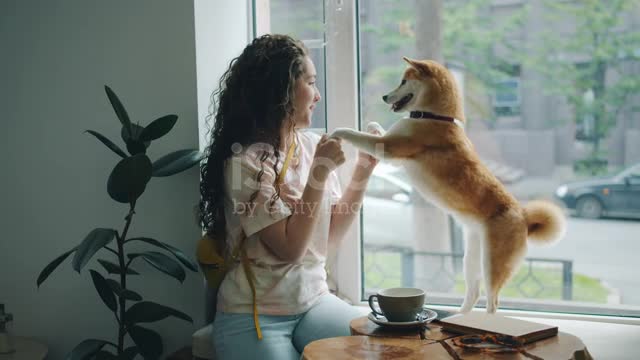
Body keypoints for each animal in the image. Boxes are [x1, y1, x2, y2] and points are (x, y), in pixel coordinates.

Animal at [332, 57, 564, 314]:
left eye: (403, 81)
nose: (384, 96)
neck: (434, 117)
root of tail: (524, 218)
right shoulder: (392, 143)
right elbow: (376, 131)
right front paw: (371, 123)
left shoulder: (391, 148)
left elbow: (358, 136)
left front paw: (340, 131)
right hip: (471, 258)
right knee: (474, 293)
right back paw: (459, 317)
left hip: (492, 264)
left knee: (492, 302)